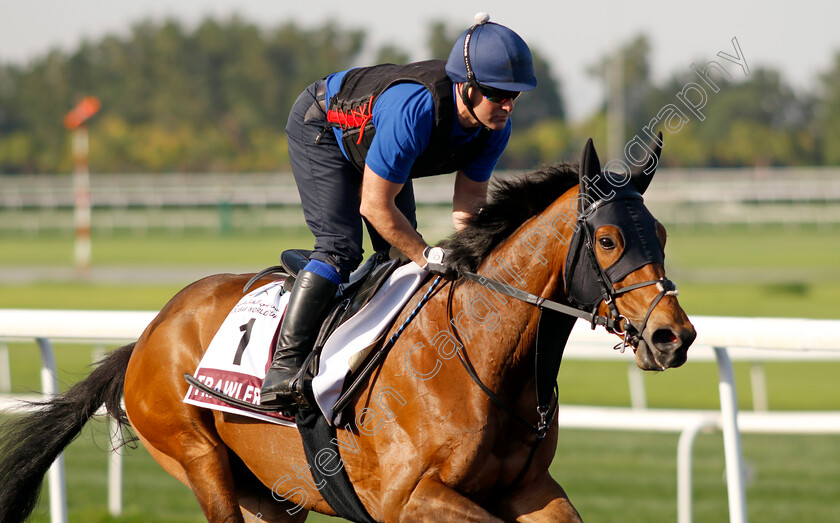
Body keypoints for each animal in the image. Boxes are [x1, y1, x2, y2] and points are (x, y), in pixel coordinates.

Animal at [0, 137, 696, 520]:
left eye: (662, 235)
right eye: (607, 240)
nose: (675, 336)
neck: (483, 355)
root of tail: (148, 334)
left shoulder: (529, 491)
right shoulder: (409, 499)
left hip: (271, 498)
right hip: (198, 458)